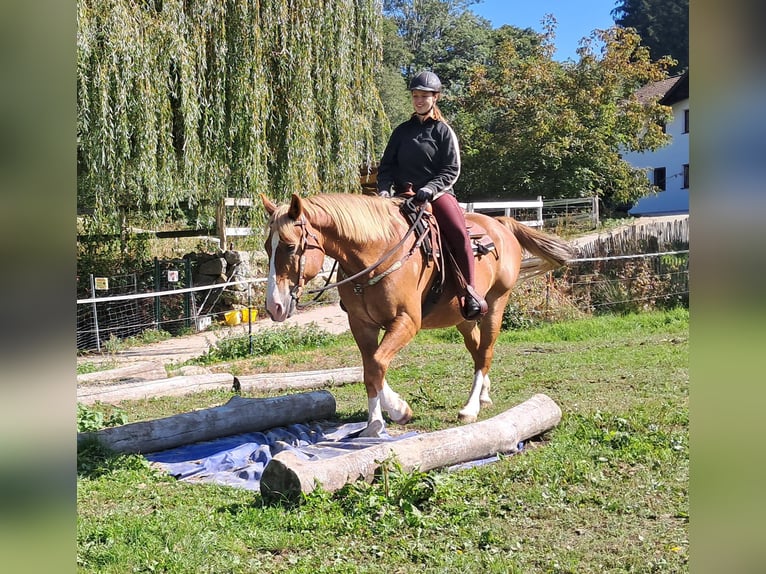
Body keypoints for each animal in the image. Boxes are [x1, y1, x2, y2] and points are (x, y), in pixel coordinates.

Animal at [260, 191, 572, 438]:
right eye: (266, 247)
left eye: (290, 246)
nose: (274, 306)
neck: (376, 253)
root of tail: (500, 224)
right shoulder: (361, 325)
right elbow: (369, 369)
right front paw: (375, 422)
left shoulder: (406, 321)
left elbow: (377, 364)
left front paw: (398, 410)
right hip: (463, 317)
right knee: (477, 350)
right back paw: (483, 394)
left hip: (496, 303)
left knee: (486, 352)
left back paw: (470, 407)